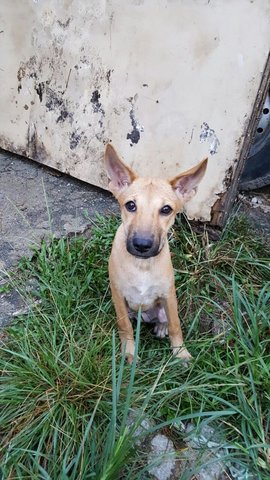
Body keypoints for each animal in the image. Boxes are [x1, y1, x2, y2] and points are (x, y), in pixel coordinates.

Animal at [104, 144, 208, 362]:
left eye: (166, 209)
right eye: (130, 205)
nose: (142, 245)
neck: (142, 264)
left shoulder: (168, 295)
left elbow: (176, 325)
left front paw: (181, 353)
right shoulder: (118, 295)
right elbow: (125, 327)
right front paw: (129, 353)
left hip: (163, 306)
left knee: (166, 319)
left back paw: (161, 327)